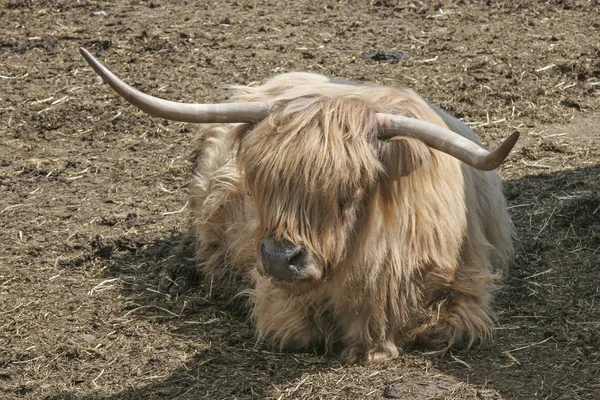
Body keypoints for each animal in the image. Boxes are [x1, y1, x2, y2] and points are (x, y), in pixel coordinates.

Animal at [82, 48, 516, 364]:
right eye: (260, 184)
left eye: (348, 191)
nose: (279, 259)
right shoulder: (277, 299)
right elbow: (301, 331)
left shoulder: (468, 292)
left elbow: (443, 329)